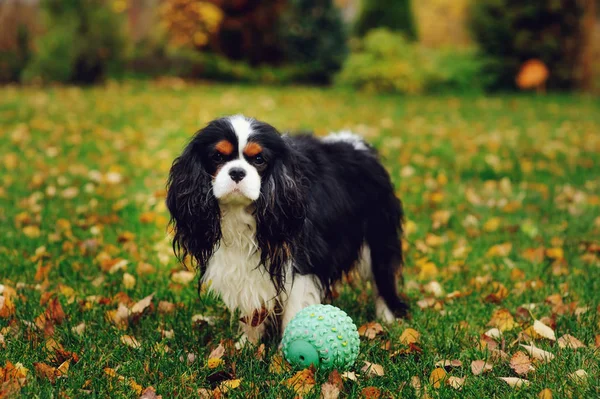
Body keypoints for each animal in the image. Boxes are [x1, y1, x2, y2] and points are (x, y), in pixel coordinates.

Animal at [165, 115, 408, 346]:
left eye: (259, 159)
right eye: (217, 157)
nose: (237, 172)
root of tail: (357, 144)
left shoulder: (300, 263)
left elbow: (294, 309)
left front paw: (284, 353)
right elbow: (252, 307)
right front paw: (247, 345)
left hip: (377, 236)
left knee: (382, 277)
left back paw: (386, 317)